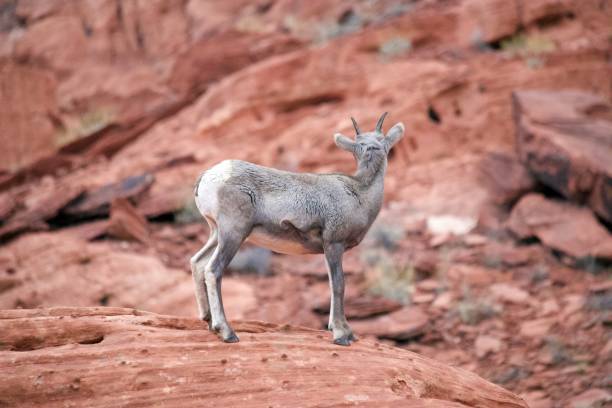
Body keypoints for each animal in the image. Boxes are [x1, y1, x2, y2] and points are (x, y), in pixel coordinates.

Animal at [189, 112, 404, 344]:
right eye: (361, 145)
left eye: (378, 142)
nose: (372, 148)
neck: (359, 192)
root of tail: (207, 176)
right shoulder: (333, 244)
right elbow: (338, 284)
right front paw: (341, 334)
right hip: (233, 233)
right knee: (213, 270)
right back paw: (227, 332)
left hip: (216, 233)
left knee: (198, 262)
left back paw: (209, 322)